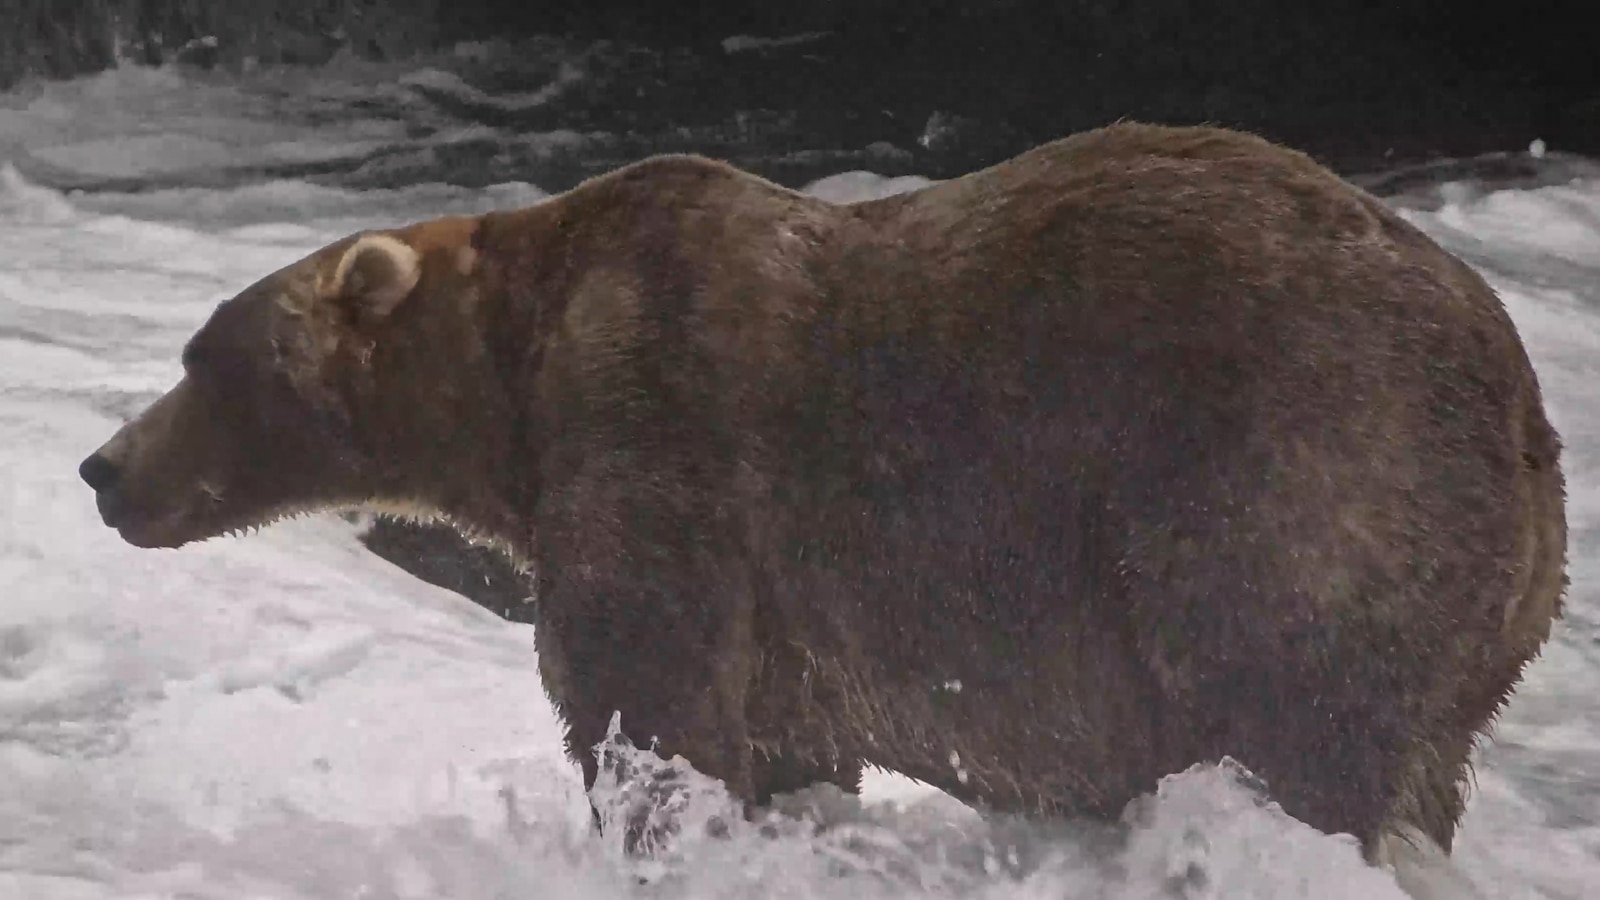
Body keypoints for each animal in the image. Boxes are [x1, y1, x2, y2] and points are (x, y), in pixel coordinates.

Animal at [78, 122, 1565, 871]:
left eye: (203, 356)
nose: (103, 469)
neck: (511, 384)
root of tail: (1520, 399)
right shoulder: (788, 609)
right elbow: (784, 745)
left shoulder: (658, 441)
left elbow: (647, 706)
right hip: (1478, 619)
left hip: (1289, 482)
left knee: (1289, 719)